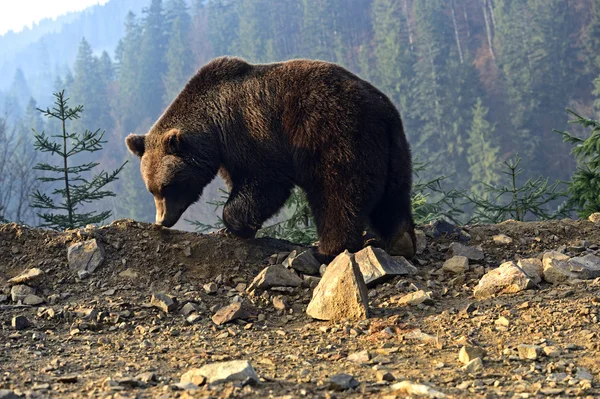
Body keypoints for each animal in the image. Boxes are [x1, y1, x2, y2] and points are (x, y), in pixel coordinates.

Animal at [126, 56, 418, 262]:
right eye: (151, 189)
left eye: (167, 186)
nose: (162, 220)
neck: (214, 128)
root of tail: (383, 110)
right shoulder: (228, 154)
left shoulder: (252, 132)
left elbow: (265, 183)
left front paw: (235, 225)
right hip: (394, 150)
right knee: (394, 194)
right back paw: (401, 240)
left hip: (335, 136)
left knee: (337, 194)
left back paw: (329, 249)